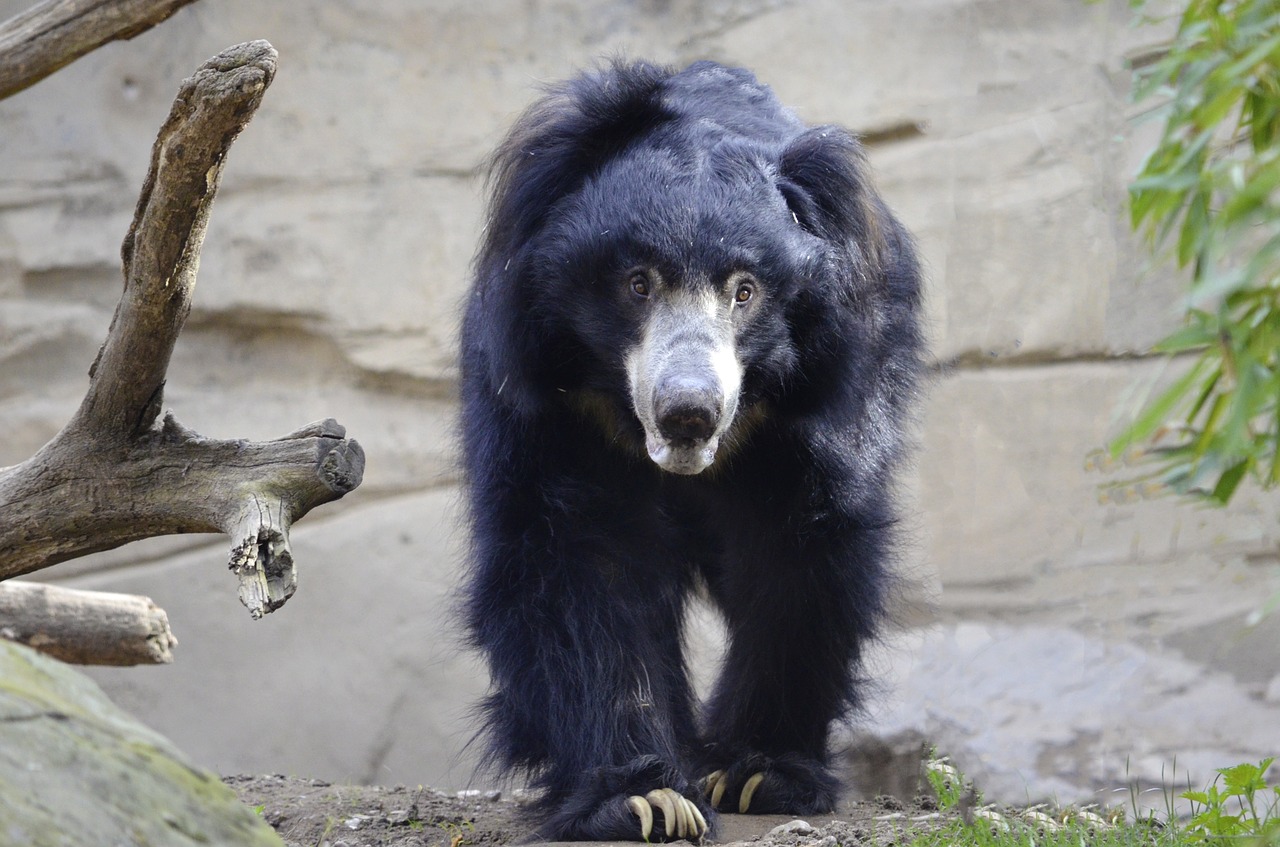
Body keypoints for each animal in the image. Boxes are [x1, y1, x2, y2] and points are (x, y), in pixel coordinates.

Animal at [460, 58, 921, 844]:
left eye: (746, 291)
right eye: (637, 282)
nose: (689, 415)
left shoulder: (808, 407)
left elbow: (797, 552)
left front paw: (757, 771)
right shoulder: (551, 400)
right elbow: (576, 560)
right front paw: (643, 797)